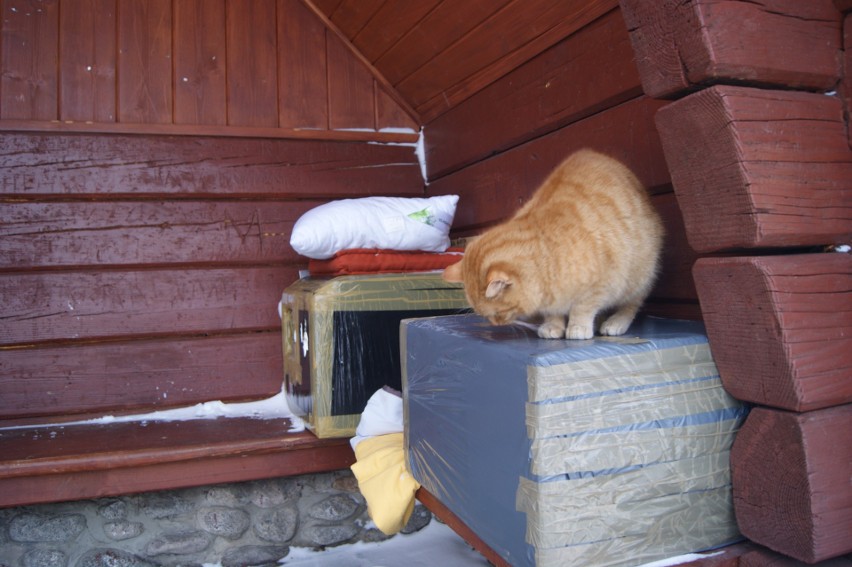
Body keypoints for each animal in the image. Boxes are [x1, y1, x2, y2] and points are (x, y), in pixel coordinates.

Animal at [442, 149, 664, 340]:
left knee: (631, 305)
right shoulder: (552, 301)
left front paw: (578, 327)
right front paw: (553, 327)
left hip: (639, 278)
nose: (496, 324)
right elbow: (553, 313)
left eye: (498, 313)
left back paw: (614, 323)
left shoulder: (601, 284)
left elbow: (583, 308)